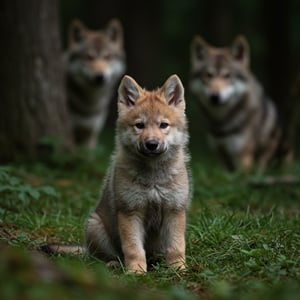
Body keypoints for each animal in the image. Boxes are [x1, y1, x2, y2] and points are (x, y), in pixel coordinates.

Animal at [65, 18, 125, 148]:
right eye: (89, 57)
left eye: (107, 56)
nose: (99, 76)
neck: (90, 105)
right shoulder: (70, 132)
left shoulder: (91, 133)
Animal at [190, 34, 290, 171]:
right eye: (208, 75)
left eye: (227, 75)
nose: (214, 96)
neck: (221, 123)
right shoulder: (221, 154)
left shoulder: (243, 157)